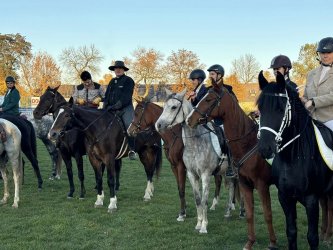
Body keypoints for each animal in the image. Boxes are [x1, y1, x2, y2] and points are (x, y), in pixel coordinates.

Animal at [153, 89, 228, 233]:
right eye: (164, 107)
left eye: (173, 107)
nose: (158, 125)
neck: (195, 144)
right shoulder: (191, 174)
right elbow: (197, 199)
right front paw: (198, 223)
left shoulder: (205, 175)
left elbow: (204, 200)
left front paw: (204, 226)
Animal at [185, 86, 276, 250]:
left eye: (208, 99)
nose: (189, 120)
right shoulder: (244, 183)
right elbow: (250, 213)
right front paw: (249, 242)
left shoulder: (262, 185)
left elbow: (267, 214)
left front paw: (272, 243)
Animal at [254, 71, 332, 249]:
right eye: (260, 108)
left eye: (280, 108)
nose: (265, 149)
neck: (293, 159)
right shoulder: (285, 197)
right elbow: (291, 232)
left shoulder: (311, 199)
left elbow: (312, 237)